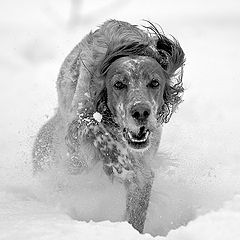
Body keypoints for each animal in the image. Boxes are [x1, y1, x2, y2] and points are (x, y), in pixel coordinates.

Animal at [31, 19, 185, 233]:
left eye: (155, 82)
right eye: (118, 84)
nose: (141, 112)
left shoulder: (143, 172)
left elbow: (137, 209)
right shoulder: (76, 129)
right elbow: (93, 128)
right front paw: (117, 162)